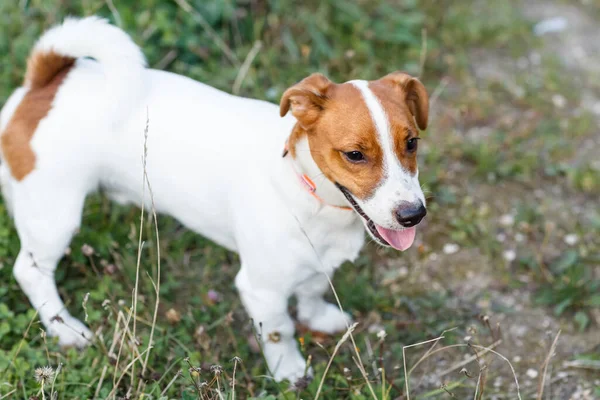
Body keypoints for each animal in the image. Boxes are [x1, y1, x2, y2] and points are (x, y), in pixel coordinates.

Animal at [1, 17, 432, 382]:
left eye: (412, 142)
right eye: (354, 155)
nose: (414, 215)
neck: (306, 189)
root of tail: (46, 82)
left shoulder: (315, 262)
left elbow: (311, 289)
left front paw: (316, 317)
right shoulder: (261, 288)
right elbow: (280, 330)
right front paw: (290, 371)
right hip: (53, 216)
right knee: (30, 272)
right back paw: (65, 329)